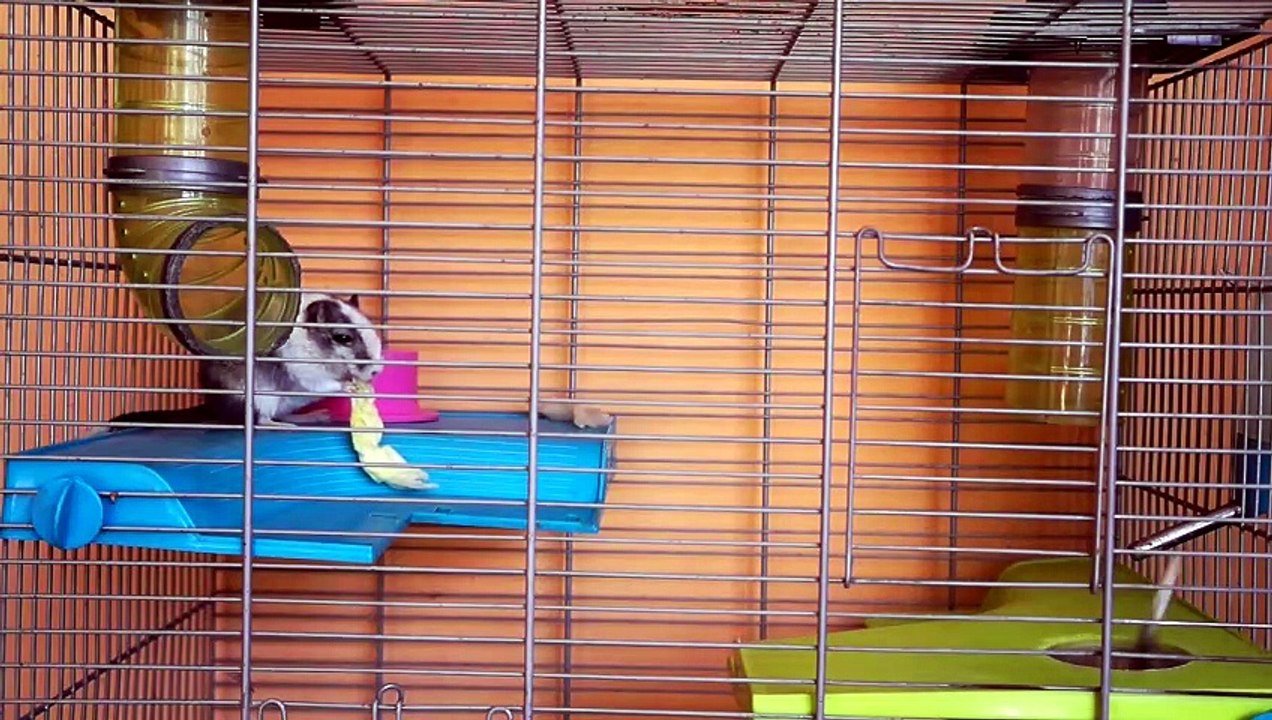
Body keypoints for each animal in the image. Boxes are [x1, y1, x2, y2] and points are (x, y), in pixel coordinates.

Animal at [110, 293, 383, 428]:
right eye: (343, 337)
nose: (377, 371)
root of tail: (211, 406)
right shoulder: (305, 369)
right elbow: (325, 384)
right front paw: (350, 386)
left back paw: (313, 417)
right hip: (260, 399)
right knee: (260, 419)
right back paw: (281, 426)